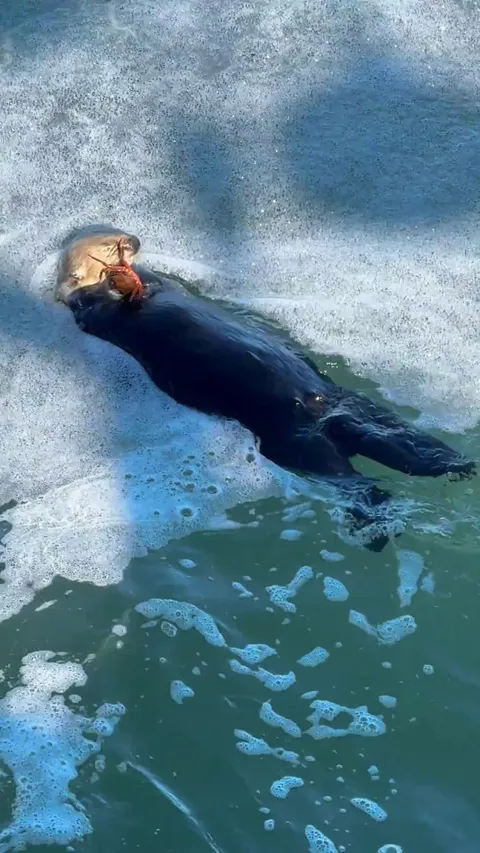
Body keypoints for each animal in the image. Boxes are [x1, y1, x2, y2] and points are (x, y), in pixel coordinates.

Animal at [56, 229, 476, 551]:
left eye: (120, 237)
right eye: (110, 245)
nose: (134, 241)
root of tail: (315, 408)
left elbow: (155, 283)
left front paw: (133, 279)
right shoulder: (93, 312)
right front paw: (121, 283)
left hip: (352, 405)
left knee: (397, 439)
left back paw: (457, 464)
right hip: (300, 446)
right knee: (352, 478)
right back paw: (381, 524)